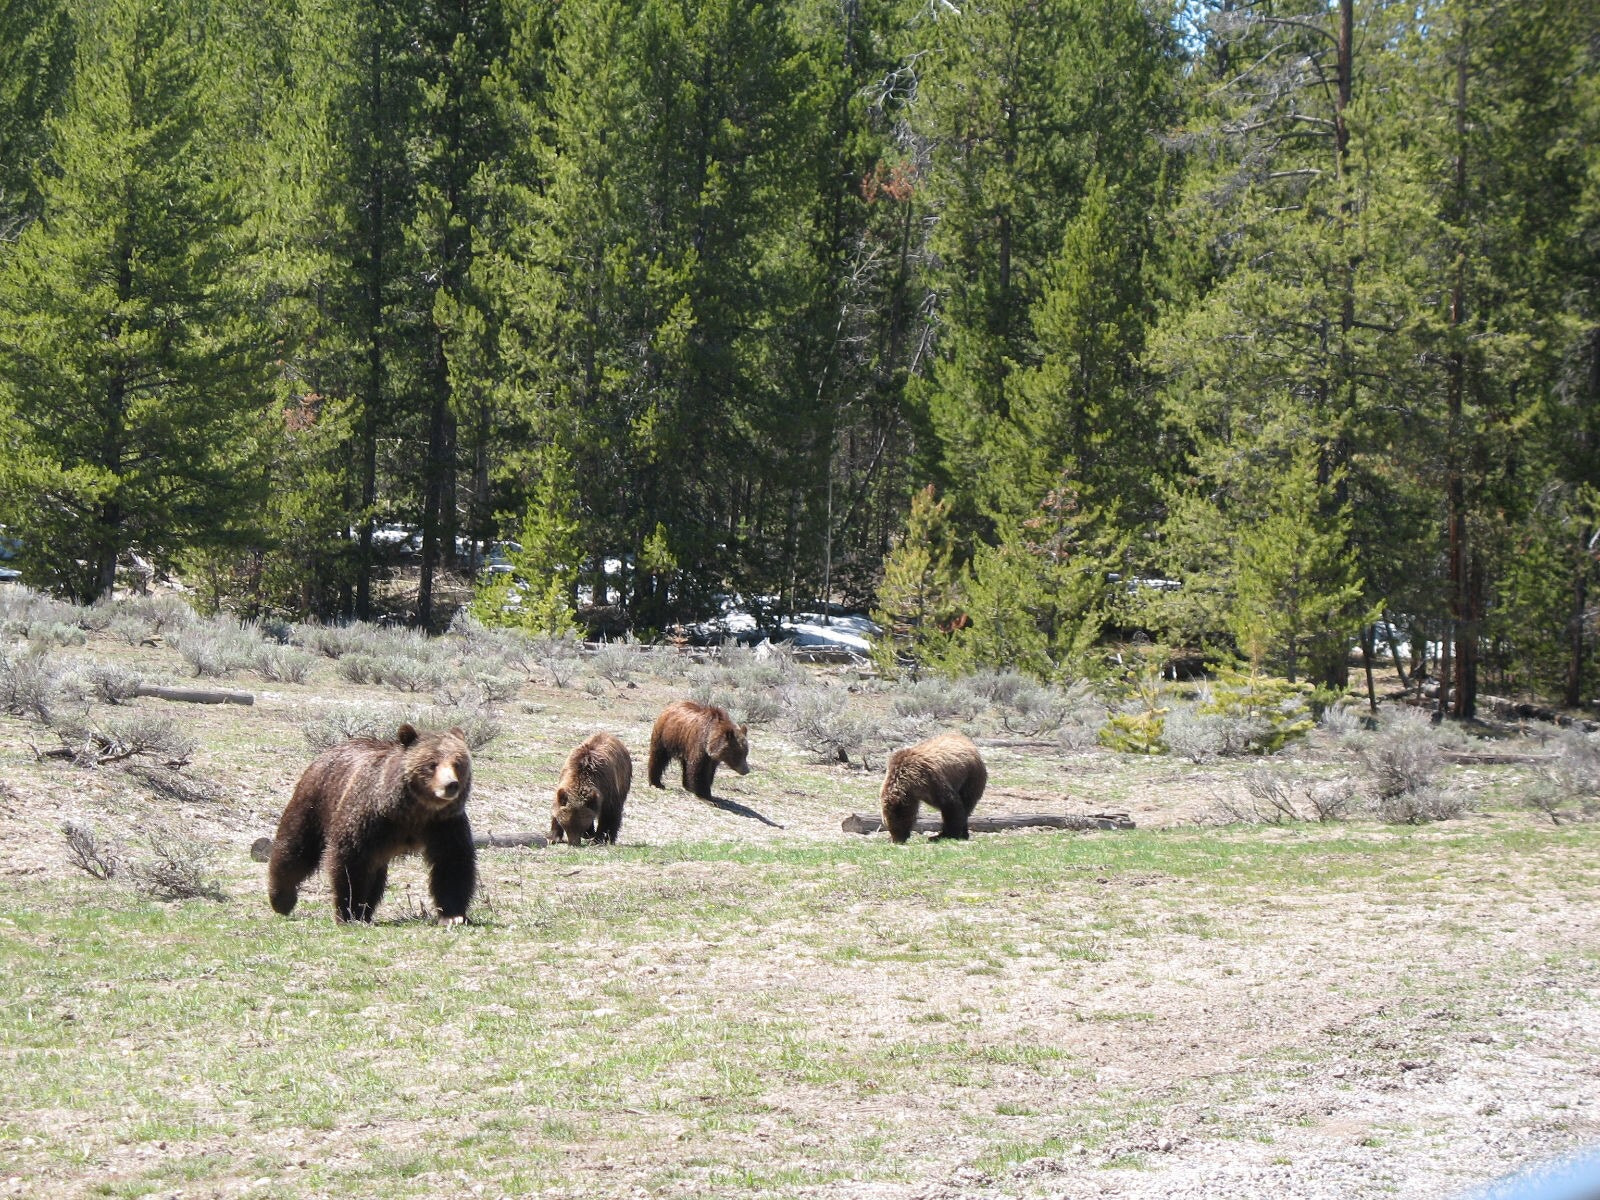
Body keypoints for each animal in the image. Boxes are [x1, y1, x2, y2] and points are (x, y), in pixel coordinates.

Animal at [262, 723, 470, 928]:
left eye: (458, 763)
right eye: (432, 764)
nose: (451, 785)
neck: (410, 811)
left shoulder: (443, 824)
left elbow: (452, 862)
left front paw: (453, 915)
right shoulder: (368, 818)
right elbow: (350, 860)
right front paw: (348, 913)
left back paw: (367, 912)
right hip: (316, 798)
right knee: (296, 846)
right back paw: (281, 899)